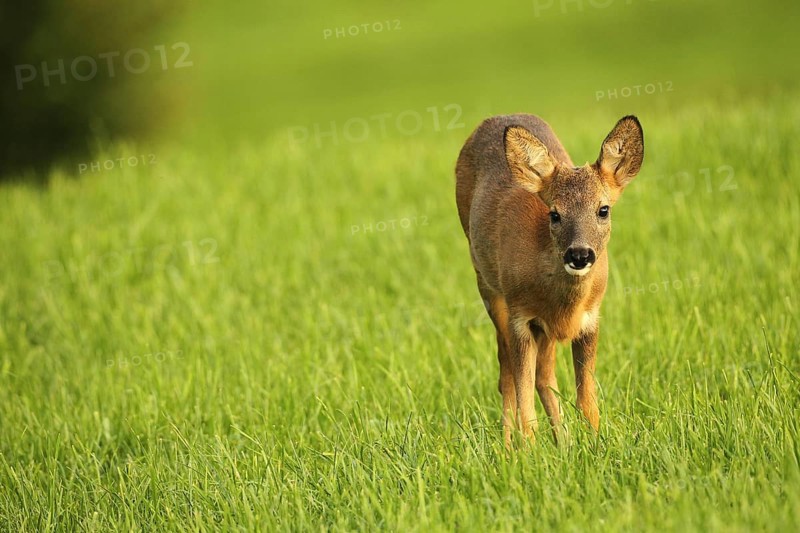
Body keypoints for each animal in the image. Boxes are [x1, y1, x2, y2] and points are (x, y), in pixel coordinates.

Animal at [455, 114, 644, 446]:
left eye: (603, 209)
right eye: (554, 214)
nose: (579, 254)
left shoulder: (590, 319)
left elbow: (586, 399)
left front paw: (594, 443)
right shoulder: (520, 316)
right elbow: (523, 393)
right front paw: (528, 450)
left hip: (544, 329)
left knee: (543, 374)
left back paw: (563, 442)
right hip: (487, 285)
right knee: (506, 371)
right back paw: (509, 445)